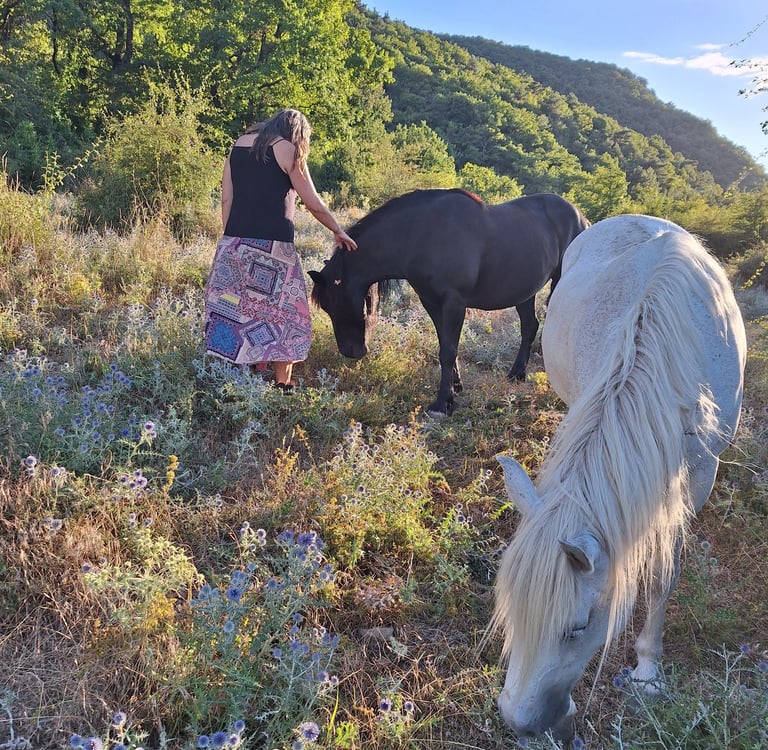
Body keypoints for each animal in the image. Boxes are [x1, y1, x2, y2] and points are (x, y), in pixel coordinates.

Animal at [308, 189, 590, 416]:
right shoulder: (431, 303)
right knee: (529, 327)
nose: (351, 351)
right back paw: (516, 374)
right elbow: (445, 343)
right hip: (524, 291)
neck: (420, 235)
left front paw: (442, 403)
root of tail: (581, 218)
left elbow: (449, 350)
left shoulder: (454, 304)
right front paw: (455, 386)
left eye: (332, 304)